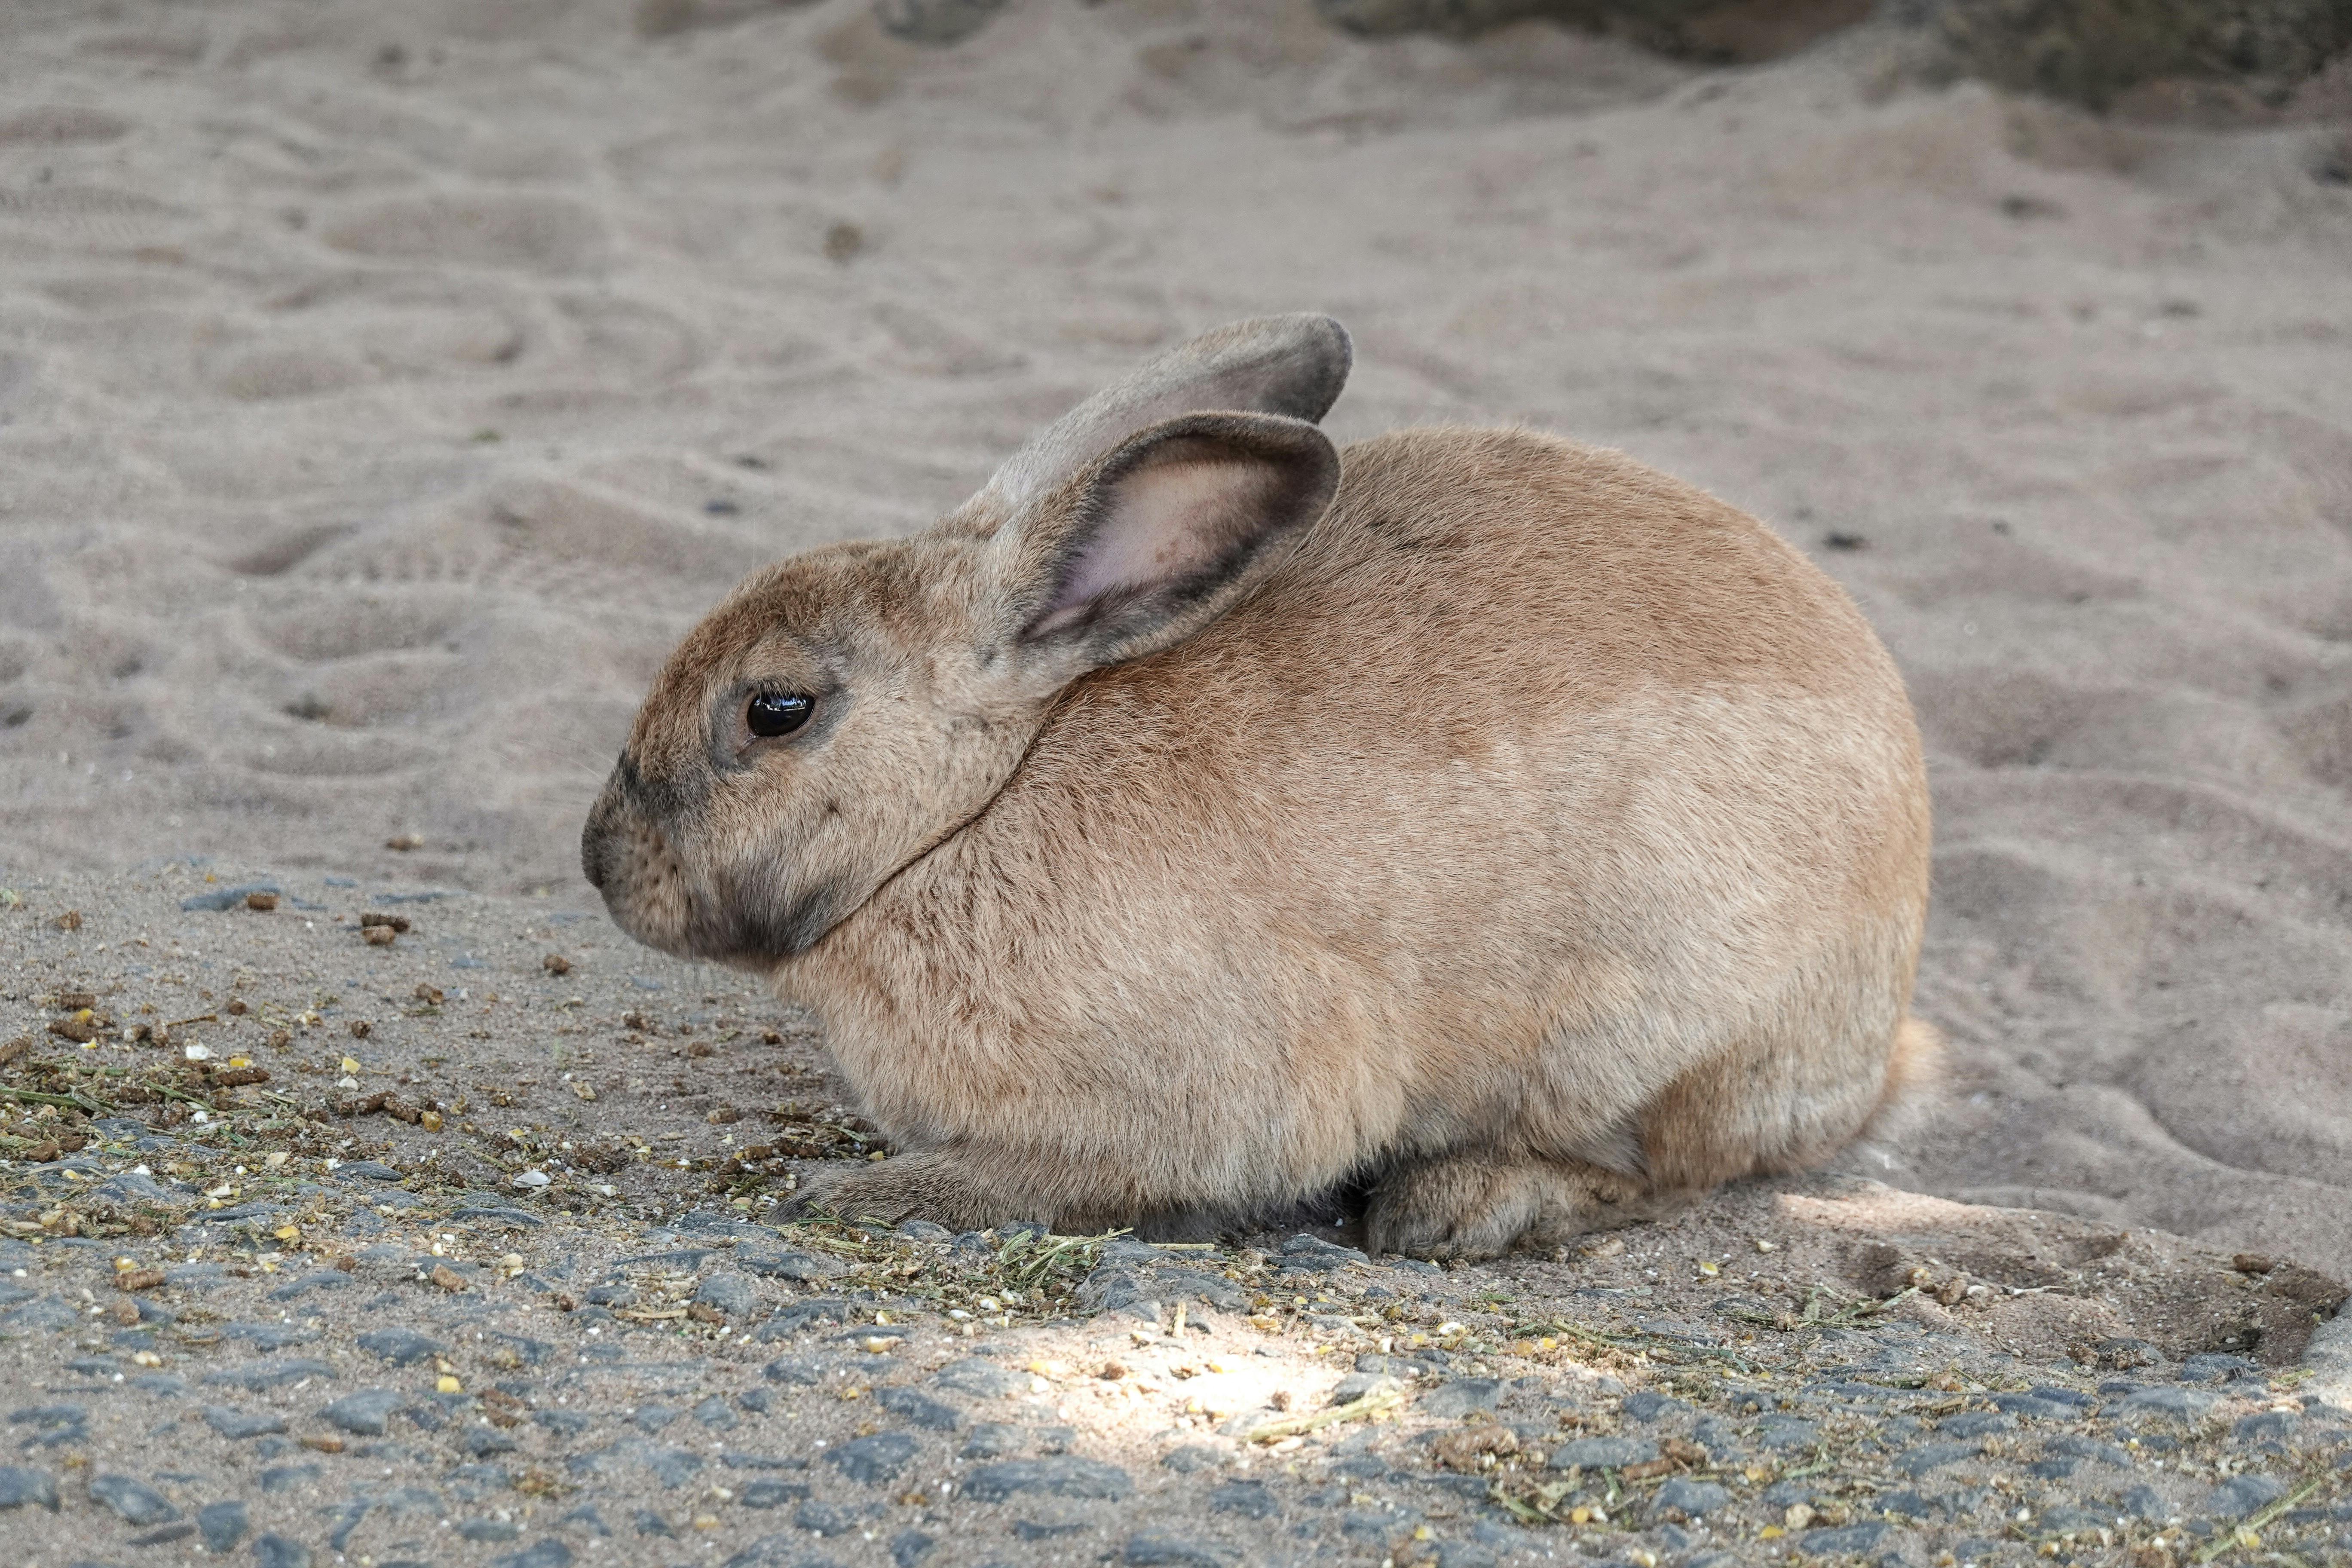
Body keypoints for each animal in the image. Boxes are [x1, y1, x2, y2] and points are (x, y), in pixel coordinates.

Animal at [581, 313, 1935, 1260]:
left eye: (777, 710)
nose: (601, 863)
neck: (978, 804)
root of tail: (1882, 1030)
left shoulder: (1198, 1106)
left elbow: (1054, 1182)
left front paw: (855, 1192)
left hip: (1647, 1029)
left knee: (1673, 1168)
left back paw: (1459, 1206)